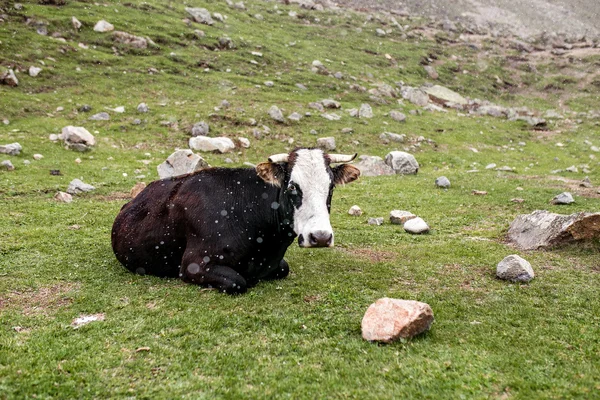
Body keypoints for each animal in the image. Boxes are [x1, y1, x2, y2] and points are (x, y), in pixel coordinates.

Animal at [110, 148, 358, 292]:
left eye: (331, 187)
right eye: (291, 187)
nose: (320, 237)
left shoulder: (278, 264)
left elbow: (283, 269)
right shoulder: (192, 265)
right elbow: (238, 281)